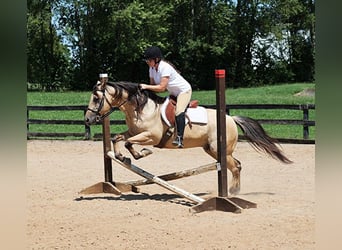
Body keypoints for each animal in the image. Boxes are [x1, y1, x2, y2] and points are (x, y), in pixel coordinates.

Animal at [85, 81, 292, 194]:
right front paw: (121, 156)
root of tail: (231, 118)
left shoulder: (151, 137)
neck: (141, 109)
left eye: (96, 98)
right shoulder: (135, 132)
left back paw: (233, 192)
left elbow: (129, 143)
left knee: (236, 166)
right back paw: (234, 190)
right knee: (236, 165)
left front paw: (141, 153)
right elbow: (117, 138)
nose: (87, 119)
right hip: (212, 150)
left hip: (220, 150)